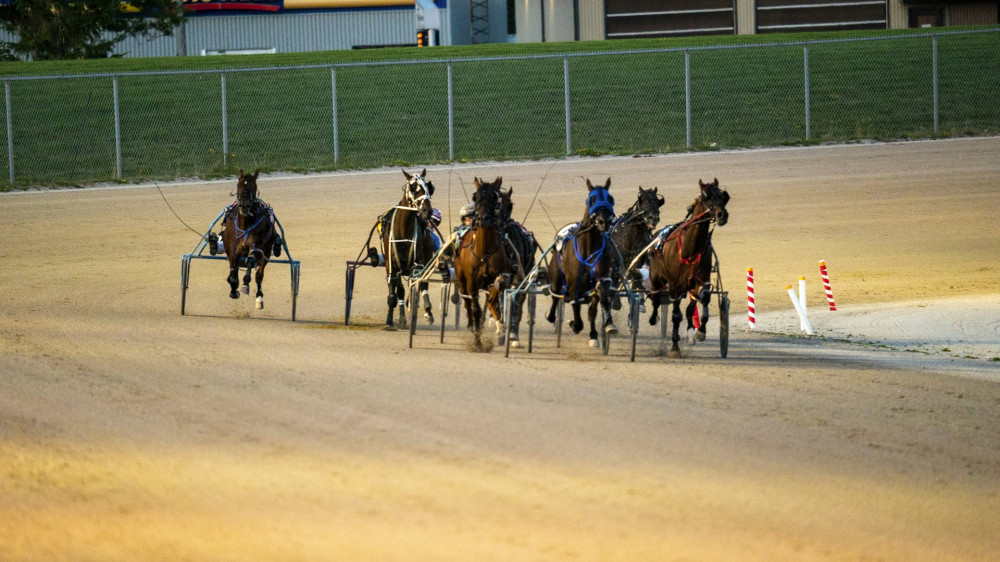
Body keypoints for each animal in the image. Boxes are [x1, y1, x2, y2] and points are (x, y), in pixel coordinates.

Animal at [221, 169, 281, 309]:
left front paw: (245, 283)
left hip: (267, 250)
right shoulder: (232, 250)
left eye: (254, 187)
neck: (244, 225)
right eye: (238, 185)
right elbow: (233, 272)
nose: (245, 205)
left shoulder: (257, 247)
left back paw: (259, 297)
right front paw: (233, 289)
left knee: (259, 274)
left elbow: (251, 261)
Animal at [380, 168, 437, 331]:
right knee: (401, 290)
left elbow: (418, 285)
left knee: (422, 284)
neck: (403, 231)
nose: (427, 210)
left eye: (428, 187)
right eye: (412, 188)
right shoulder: (391, 265)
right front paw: (390, 321)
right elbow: (394, 293)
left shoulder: (418, 263)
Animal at [453, 176, 516, 350]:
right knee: (467, 302)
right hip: (461, 280)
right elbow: (475, 308)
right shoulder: (471, 283)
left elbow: (495, 293)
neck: (484, 250)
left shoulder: (499, 276)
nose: (482, 218)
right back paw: (472, 324)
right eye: (475, 197)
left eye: (494, 197)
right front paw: (478, 342)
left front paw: (499, 325)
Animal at [545, 178, 618, 348]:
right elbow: (576, 308)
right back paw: (551, 316)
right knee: (555, 296)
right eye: (592, 199)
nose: (604, 222)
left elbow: (600, 304)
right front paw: (574, 324)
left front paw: (603, 329)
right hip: (556, 278)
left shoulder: (601, 279)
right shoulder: (573, 284)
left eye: (610, 198)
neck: (589, 246)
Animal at [646, 178, 730, 358]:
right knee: (656, 298)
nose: (722, 215)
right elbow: (676, 315)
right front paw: (674, 346)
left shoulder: (701, 281)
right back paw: (653, 318)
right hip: (656, 278)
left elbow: (704, 301)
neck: (690, 248)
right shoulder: (675, 286)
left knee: (690, 309)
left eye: (723, 196)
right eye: (707, 197)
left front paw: (700, 332)